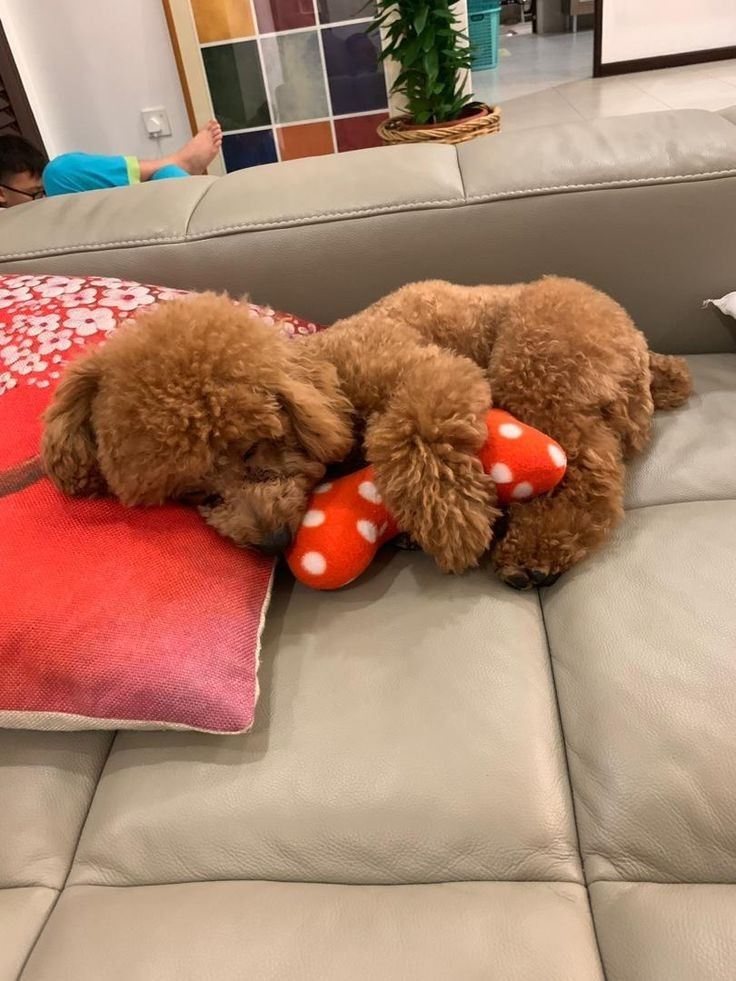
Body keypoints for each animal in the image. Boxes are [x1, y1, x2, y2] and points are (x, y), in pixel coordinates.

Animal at [43, 276, 692, 584]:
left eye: (253, 450)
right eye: (197, 494)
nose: (274, 543)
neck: (328, 374)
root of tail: (638, 342)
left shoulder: (431, 374)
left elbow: (413, 431)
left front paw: (451, 524)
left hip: (537, 363)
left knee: (590, 472)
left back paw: (533, 551)